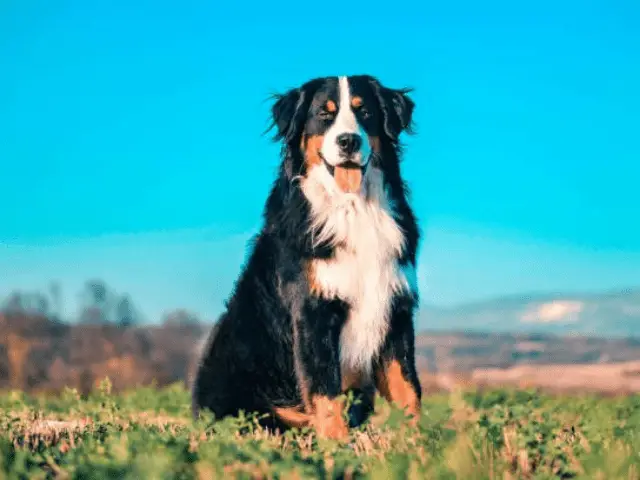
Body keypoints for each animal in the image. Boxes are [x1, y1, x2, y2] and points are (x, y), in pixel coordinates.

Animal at [192, 74, 422, 438]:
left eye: (365, 112)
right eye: (324, 114)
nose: (348, 141)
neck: (353, 210)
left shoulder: (396, 309)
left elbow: (408, 390)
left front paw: (419, 444)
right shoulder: (312, 312)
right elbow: (325, 392)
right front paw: (337, 447)